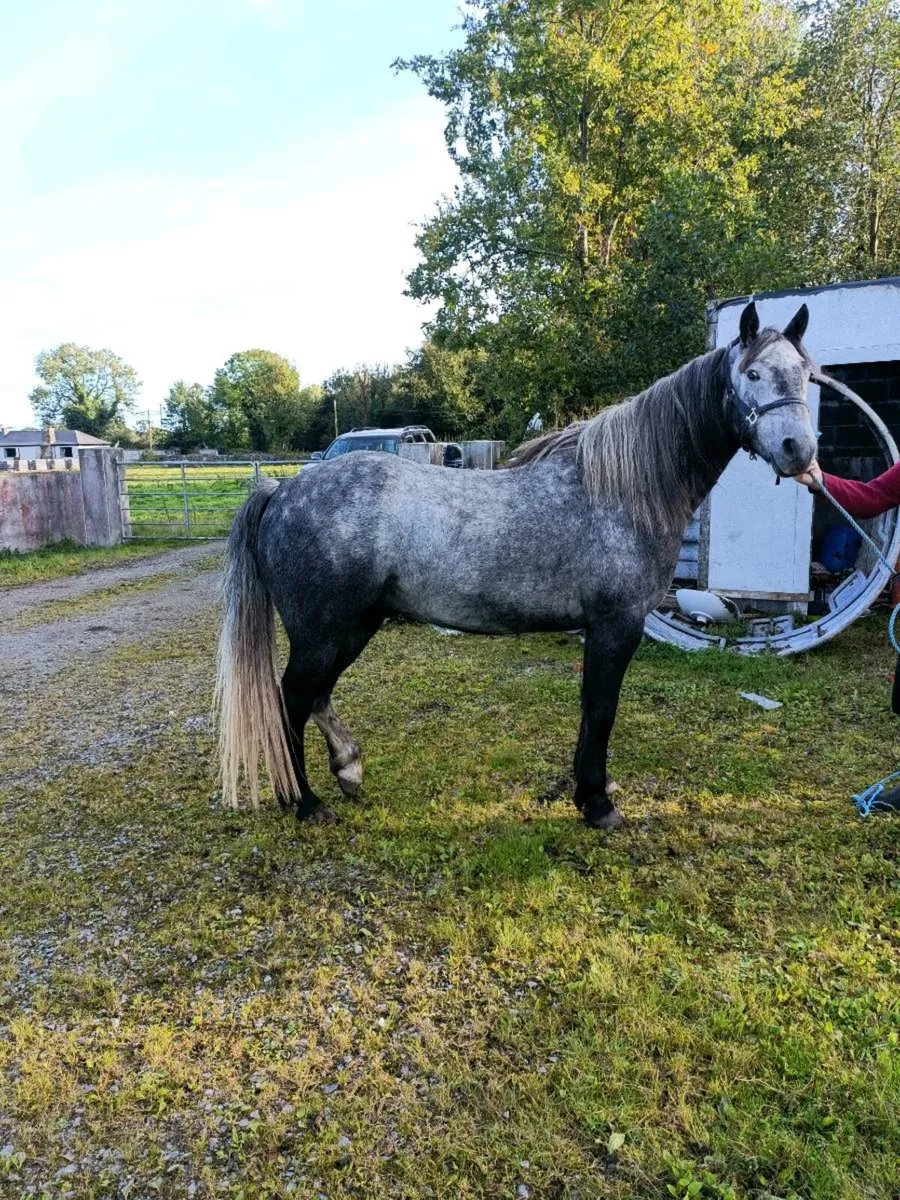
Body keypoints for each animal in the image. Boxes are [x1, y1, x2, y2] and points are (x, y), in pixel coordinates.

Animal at [216, 301, 817, 829]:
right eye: (753, 373)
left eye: (806, 375)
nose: (799, 450)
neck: (621, 493)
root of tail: (282, 490)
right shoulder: (617, 625)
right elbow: (602, 709)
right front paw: (598, 805)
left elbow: (589, 709)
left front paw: (587, 791)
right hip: (327, 631)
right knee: (292, 699)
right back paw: (305, 801)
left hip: (351, 626)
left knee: (313, 696)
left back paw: (348, 769)